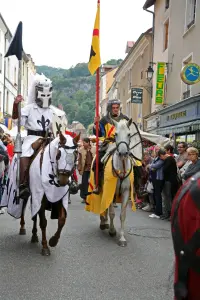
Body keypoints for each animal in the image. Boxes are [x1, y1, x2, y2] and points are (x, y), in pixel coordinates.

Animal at [99, 118, 143, 247]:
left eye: (129, 134)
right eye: (116, 134)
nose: (123, 153)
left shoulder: (126, 191)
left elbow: (122, 215)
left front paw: (122, 238)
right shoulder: (110, 190)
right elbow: (112, 213)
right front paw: (112, 231)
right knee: (105, 207)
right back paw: (104, 223)